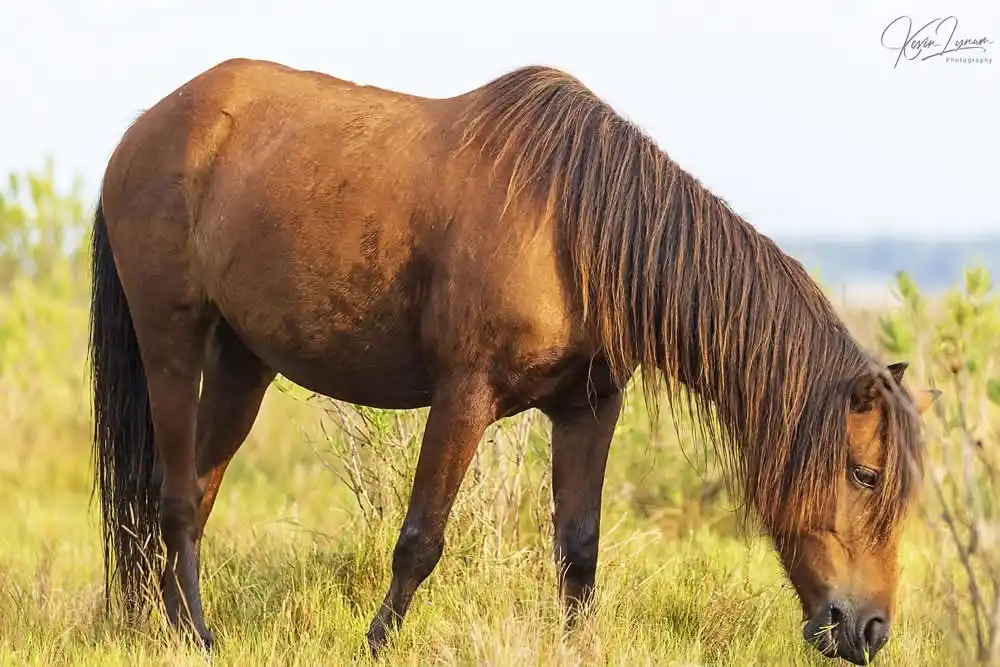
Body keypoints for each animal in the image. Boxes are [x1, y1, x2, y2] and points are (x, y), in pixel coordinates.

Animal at [88, 58, 939, 664]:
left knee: (195, 494)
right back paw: (196, 638)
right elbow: (421, 538)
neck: (573, 226)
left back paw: (174, 626)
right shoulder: (463, 396)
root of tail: (141, 131)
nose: (869, 629)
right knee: (172, 496)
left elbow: (578, 551)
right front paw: (375, 643)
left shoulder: (589, 409)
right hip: (172, 339)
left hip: (244, 361)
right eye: (864, 474)